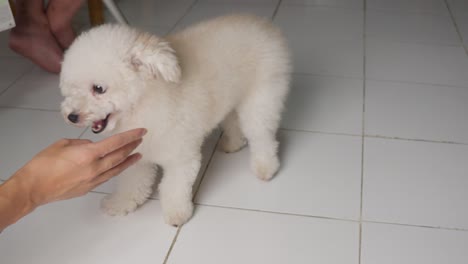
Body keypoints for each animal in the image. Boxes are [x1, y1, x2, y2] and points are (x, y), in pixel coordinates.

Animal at [60, 13, 290, 226]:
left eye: (98, 88)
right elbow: (132, 183)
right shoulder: (138, 156)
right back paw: (233, 144)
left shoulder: (181, 159)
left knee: (262, 137)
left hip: (261, 100)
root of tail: (265, 25)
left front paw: (177, 214)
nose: (72, 116)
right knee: (233, 122)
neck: (143, 105)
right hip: (232, 100)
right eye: (72, 88)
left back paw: (266, 167)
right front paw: (121, 204)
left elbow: (173, 187)